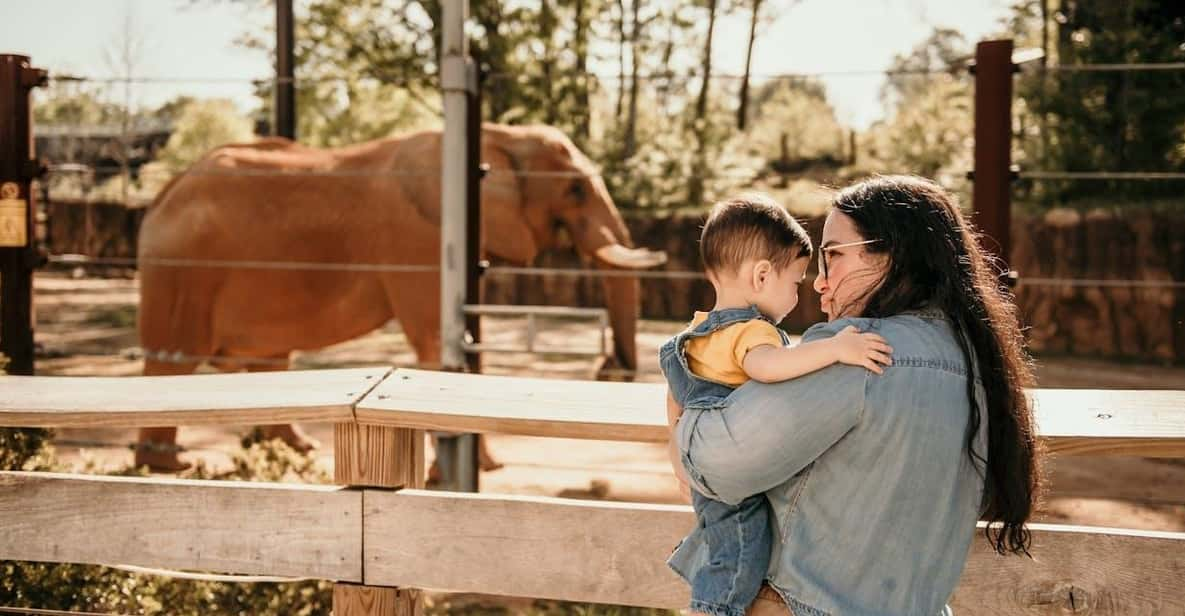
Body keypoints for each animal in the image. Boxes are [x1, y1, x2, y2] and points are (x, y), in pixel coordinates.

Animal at [133, 124, 668, 471]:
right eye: (575, 189)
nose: (609, 367)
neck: (498, 134)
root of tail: (161, 195)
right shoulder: (419, 238)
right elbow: (432, 342)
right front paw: (479, 468)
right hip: (183, 273)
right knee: (172, 361)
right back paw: (172, 468)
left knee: (266, 360)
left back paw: (297, 452)